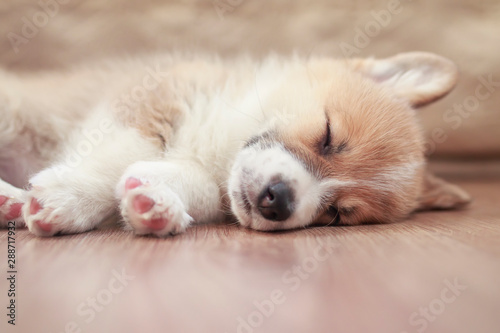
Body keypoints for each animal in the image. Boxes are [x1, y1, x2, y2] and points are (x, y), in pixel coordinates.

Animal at [0, 52, 468, 235]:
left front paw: (156, 198)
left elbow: (200, 188)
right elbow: (116, 155)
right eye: (328, 134)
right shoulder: (143, 104)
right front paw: (70, 197)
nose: (278, 201)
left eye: (336, 214)